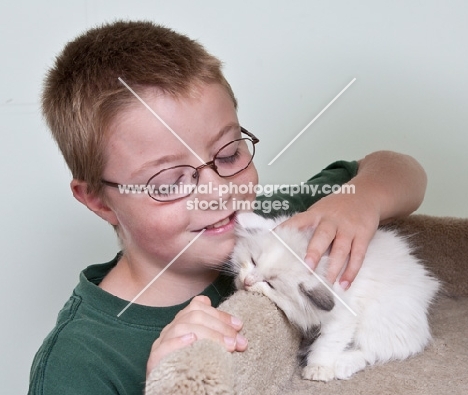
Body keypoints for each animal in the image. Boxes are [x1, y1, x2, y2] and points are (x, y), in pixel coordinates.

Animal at [232, 215, 440, 382]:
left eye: (270, 284)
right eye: (253, 261)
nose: (247, 281)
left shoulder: (343, 317)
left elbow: (327, 343)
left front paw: (317, 369)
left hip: (377, 318)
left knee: (372, 351)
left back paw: (341, 366)